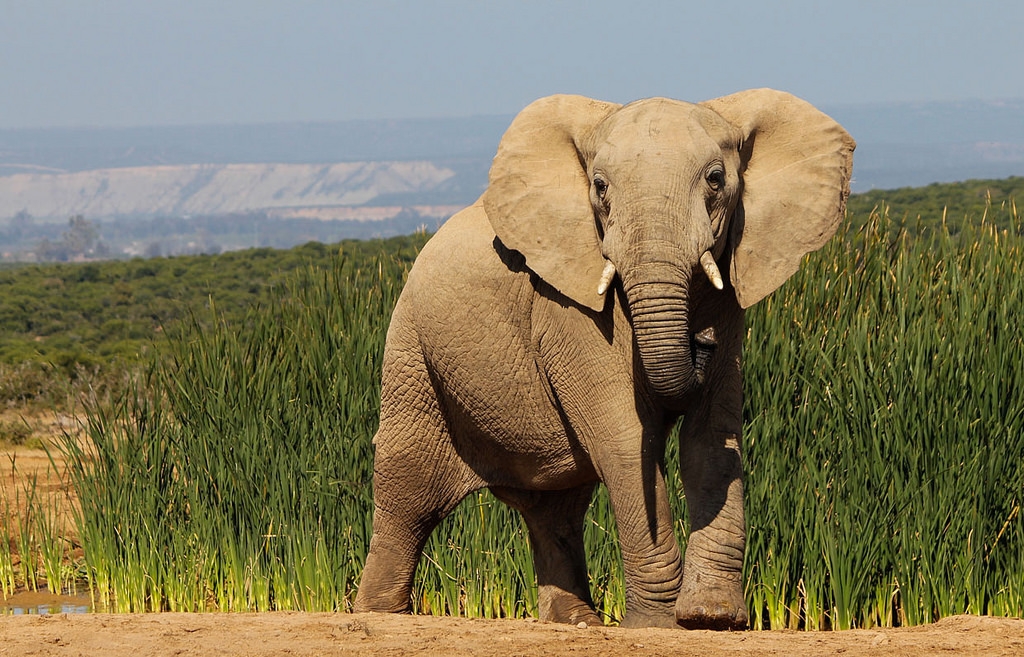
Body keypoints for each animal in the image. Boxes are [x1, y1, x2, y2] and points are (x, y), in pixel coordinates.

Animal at [354, 89, 856, 626]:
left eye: (716, 180)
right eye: (599, 187)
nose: (701, 341)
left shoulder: (730, 298)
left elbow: (711, 441)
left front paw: (712, 618)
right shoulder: (567, 308)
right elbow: (627, 441)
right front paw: (658, 625)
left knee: (555, 510)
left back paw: (577, 622)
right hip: (412, 352)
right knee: (408, 490)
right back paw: (378, 616)